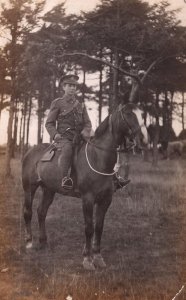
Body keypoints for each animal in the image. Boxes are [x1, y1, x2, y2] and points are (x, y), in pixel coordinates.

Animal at [21, 102, 147, 270]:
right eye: (128, 114)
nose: (143, 142)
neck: (98, 158)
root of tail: (30, 151)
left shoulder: (105, 200)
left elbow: (99, 227)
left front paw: (98, 257)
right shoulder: (87, 199)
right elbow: (89, 228)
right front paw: (87, 259)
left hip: (49, 189)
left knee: (41, 212)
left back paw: (44, 243)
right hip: (30, 188)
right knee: (28, 212)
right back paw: (29, 242)